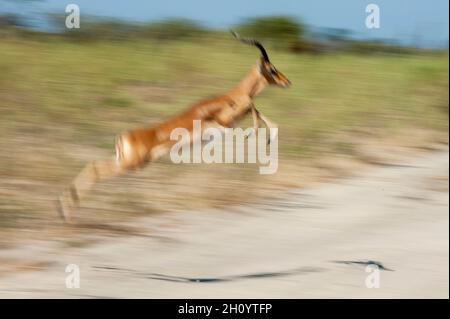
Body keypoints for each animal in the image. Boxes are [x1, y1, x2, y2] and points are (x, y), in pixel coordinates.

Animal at [58, 31, 292, 222]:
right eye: (272, 69)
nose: (287, 82)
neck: (231, 96)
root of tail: (122, 136)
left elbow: (256, 109)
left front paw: (270, 134)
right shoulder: (225, 123)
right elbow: (252, 107)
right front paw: (255, 132)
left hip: (125, 162)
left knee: (93, 165)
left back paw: (63, 209)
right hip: (131, 165)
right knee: (96, 169)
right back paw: (66, 212)